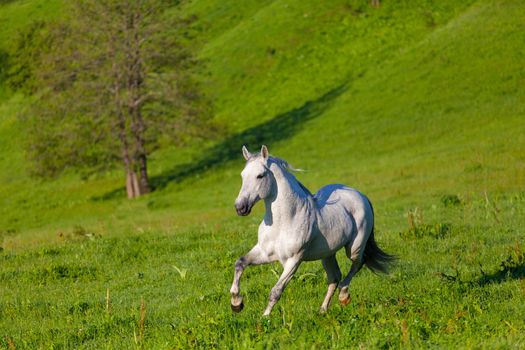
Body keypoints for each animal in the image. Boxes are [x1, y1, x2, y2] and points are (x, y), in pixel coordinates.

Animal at [229, 146, 392, 316]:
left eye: (260, 175)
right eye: (242, 175)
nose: (240, 207)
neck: (284, 221)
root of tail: (361, 195)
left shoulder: (294, 260)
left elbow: (276, 291)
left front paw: (265, 318)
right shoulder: (265, 252)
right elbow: (240, 263)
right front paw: (236, 303)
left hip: (354, 247)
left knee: (358, 264)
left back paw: (343, 296)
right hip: (327, 254)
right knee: (334, 277)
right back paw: (322, 310)